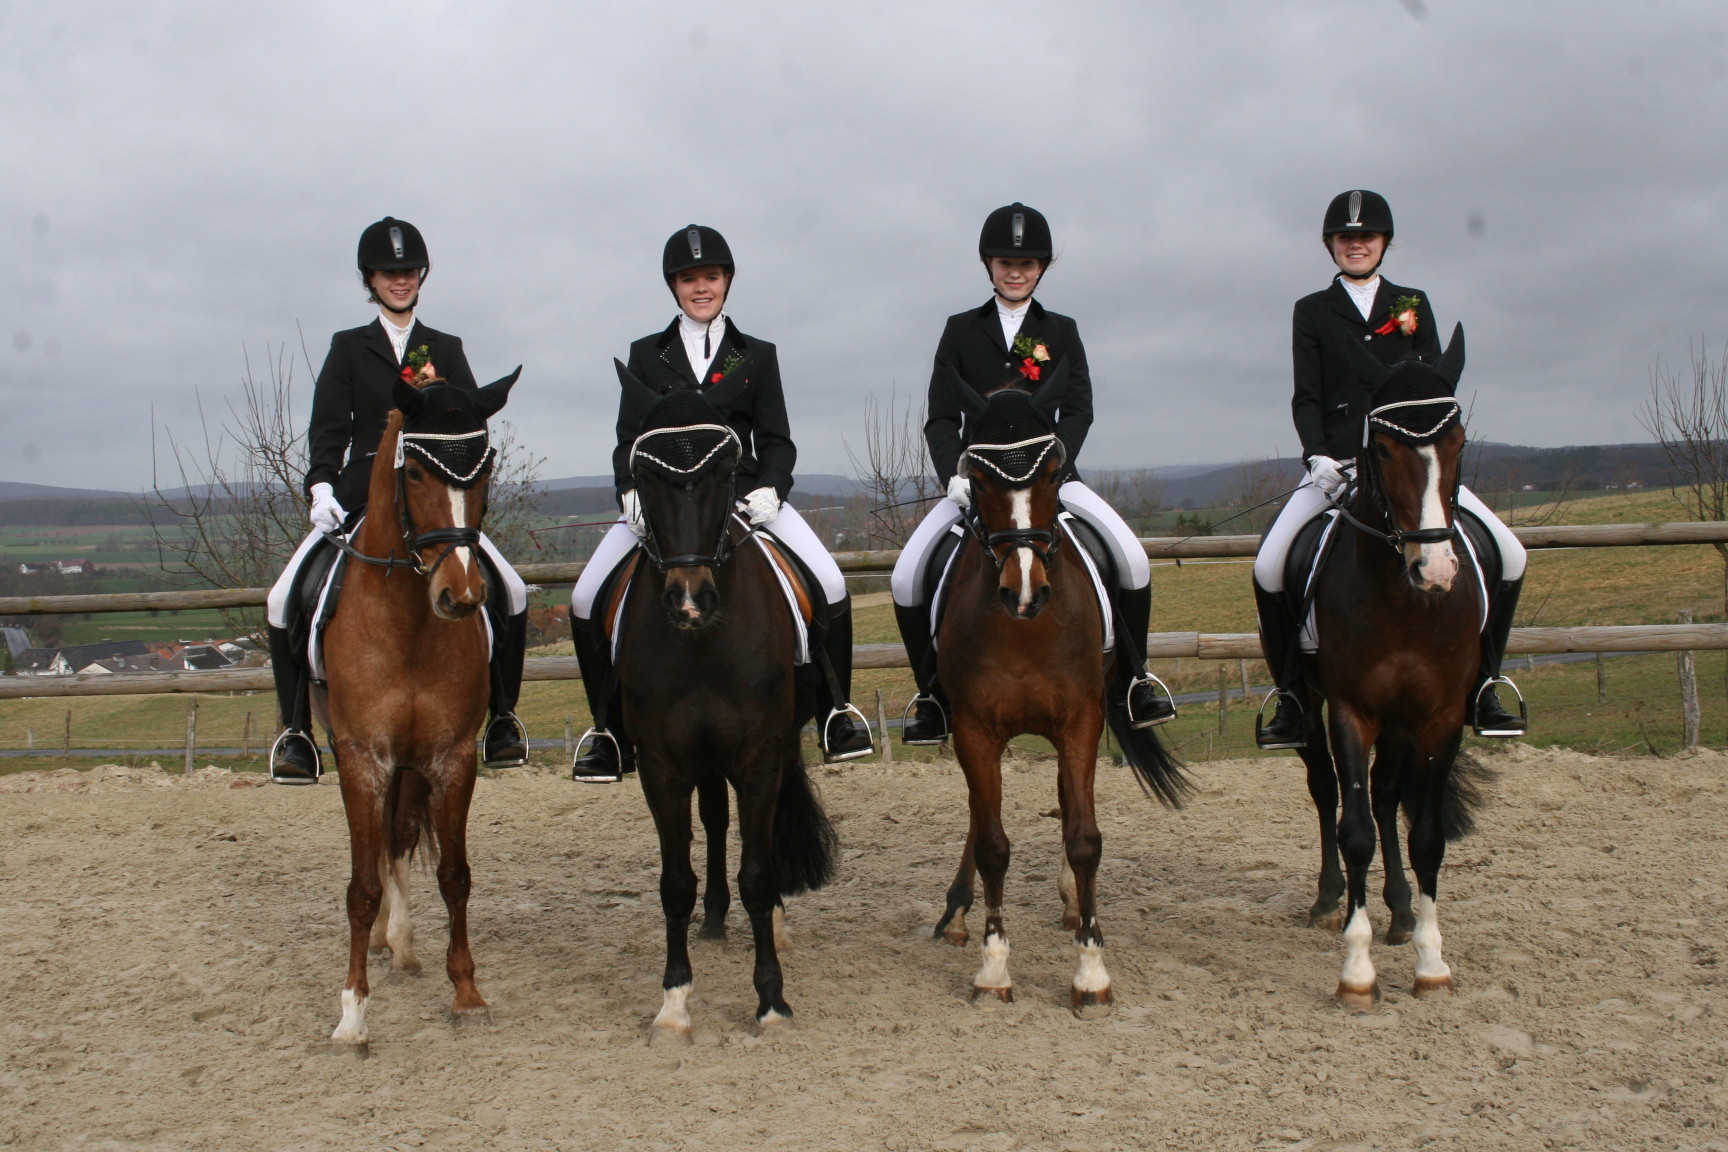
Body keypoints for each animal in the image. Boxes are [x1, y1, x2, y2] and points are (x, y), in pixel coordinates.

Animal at [321, 371, 514, 1057]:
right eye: (417, 474)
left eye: (484, 470)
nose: (460, 596)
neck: (406, 621)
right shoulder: (361, 759)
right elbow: (359, 886)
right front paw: (352, 1015)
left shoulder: (450, 757)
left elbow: (454, 875)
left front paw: (468, 995)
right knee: (379, 849)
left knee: (399, 836)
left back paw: (399, 943)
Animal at [615, 383, 836, 1043]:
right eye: (644, 474)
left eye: (726, 470)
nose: (690, 600)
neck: (702, 644)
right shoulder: (661, 764)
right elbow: (674, 883)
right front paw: (673, 1003)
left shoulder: (760, 755)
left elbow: (758, 876)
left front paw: (771, 1000)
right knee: (714, 819)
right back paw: (713, 919)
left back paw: (776, 926)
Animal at [933, 379, 1188, 1015]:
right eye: (977, 478)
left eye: (1052, 472)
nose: (1024, 591)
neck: (1026, 629)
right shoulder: (975, 729)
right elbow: (993, 841)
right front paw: (994, 969)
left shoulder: (1079, 721)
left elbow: (1084, 838)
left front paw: (1091, 972)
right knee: (981, 812)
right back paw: (957, 912)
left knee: (1068, 806)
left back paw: (1074, 904)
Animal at [1292, 328, 1492, 1015]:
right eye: (1382, 446)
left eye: (1459, 441)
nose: (1435, 571)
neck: (1404, 600)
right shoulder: (1352, 711)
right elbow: (1353, 830)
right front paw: (1356, 971)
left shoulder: (1441, 717)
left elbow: (1425, 833)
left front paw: (1433, 962)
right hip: (1310, 706)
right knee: (1330, 791)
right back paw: (1330, 901)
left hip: (1406, 723)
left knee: (1386, 797)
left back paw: (1403, 913)